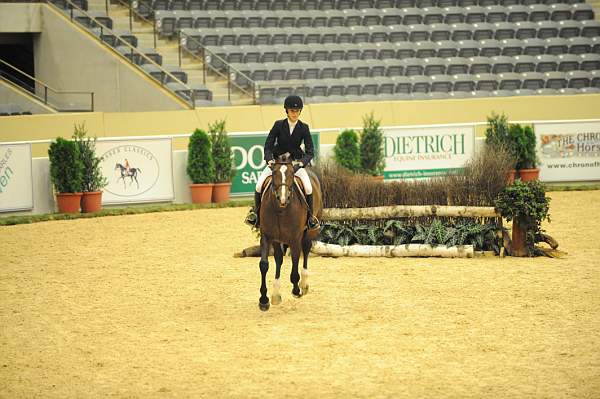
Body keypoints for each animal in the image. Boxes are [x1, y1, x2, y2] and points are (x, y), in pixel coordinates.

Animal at [258, 153, 324, 312]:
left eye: (292, 174)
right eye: (274, 173)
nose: (283, 199)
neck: (281, 210)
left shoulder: (295, 238)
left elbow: (295, 260)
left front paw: (296, 289)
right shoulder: (268, 236)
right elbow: (265, 264)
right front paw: (265, 299)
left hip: (310, 230)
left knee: (306, 249)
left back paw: (304, 284)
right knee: (279, 258)